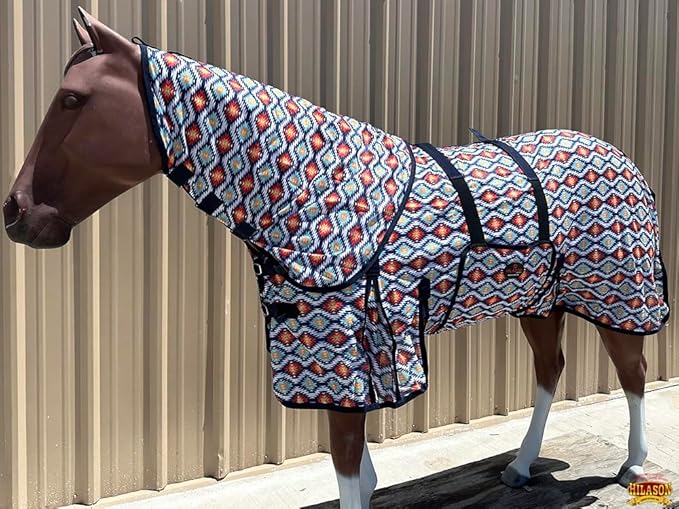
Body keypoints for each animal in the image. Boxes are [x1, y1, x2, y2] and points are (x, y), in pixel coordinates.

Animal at [3, 9, 669, 509]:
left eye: (71, 99)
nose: (16, 213)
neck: (320, 188)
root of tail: (624, 159)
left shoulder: (349, 354)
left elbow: (348, 468)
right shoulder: (333, 361)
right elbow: (356, 468)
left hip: (619, 298)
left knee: (633, 373)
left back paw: (634, 466)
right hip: (539, 302)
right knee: (550, 372)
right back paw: (522, 467)